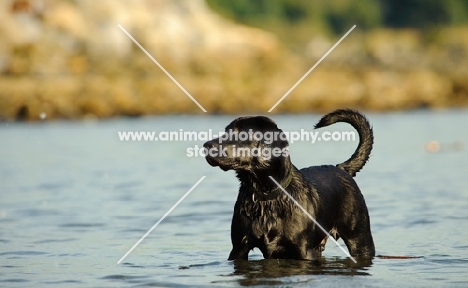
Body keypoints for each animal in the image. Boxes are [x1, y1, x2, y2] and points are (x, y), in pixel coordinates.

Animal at [203, 109, 374, 260]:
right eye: (226, 131)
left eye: (241, 134)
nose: (206, 145)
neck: (266, 196)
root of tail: (342, 168)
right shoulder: (239, 247)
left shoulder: (304, 250)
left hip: (360, 237)